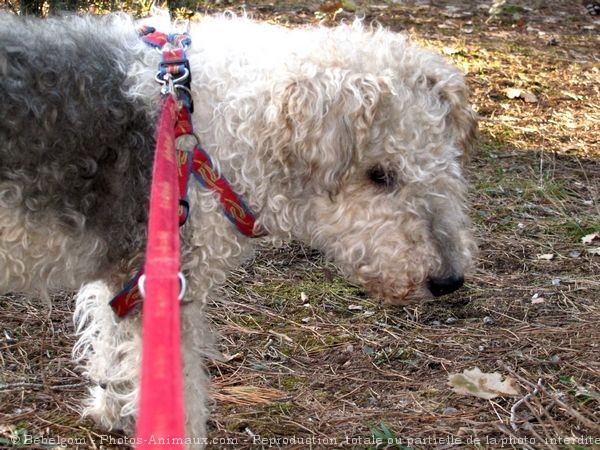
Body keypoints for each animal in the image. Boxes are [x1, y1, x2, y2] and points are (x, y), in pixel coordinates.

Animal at [0, 12, 478, 444]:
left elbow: (111, 341)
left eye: (444, 162)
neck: (204, 133)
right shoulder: (165, 281)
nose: (449, 281)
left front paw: (113, 410)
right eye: (379, 174)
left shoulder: (127, 278)